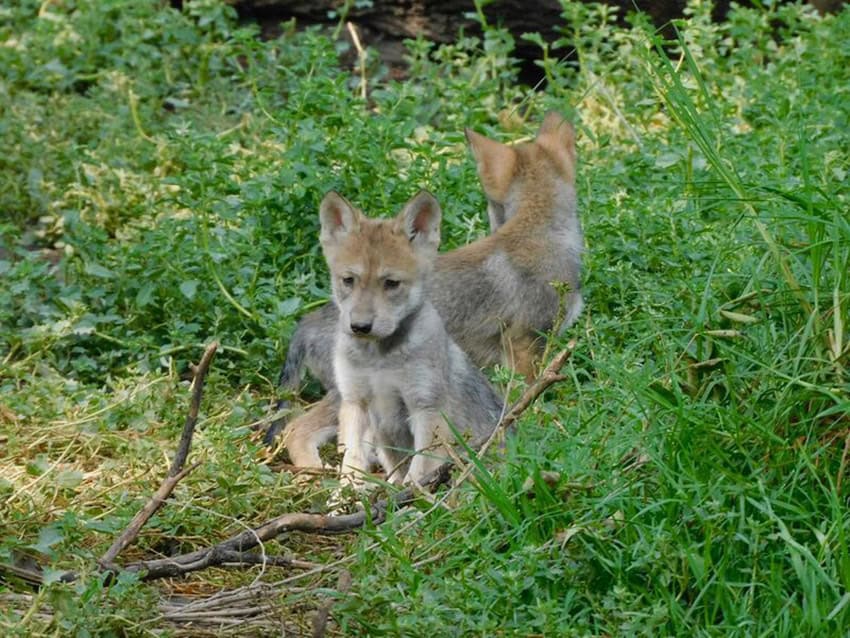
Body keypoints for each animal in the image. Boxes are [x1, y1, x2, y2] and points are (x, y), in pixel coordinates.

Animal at [319, 190, 503, 483]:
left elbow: (418, 472)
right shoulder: (355, 402)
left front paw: (410, 497)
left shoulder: (425, 409)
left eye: (391, 283)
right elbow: (352, 465)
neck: (379, 360)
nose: (360, 326)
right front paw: (345, 495)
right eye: (348, 280)